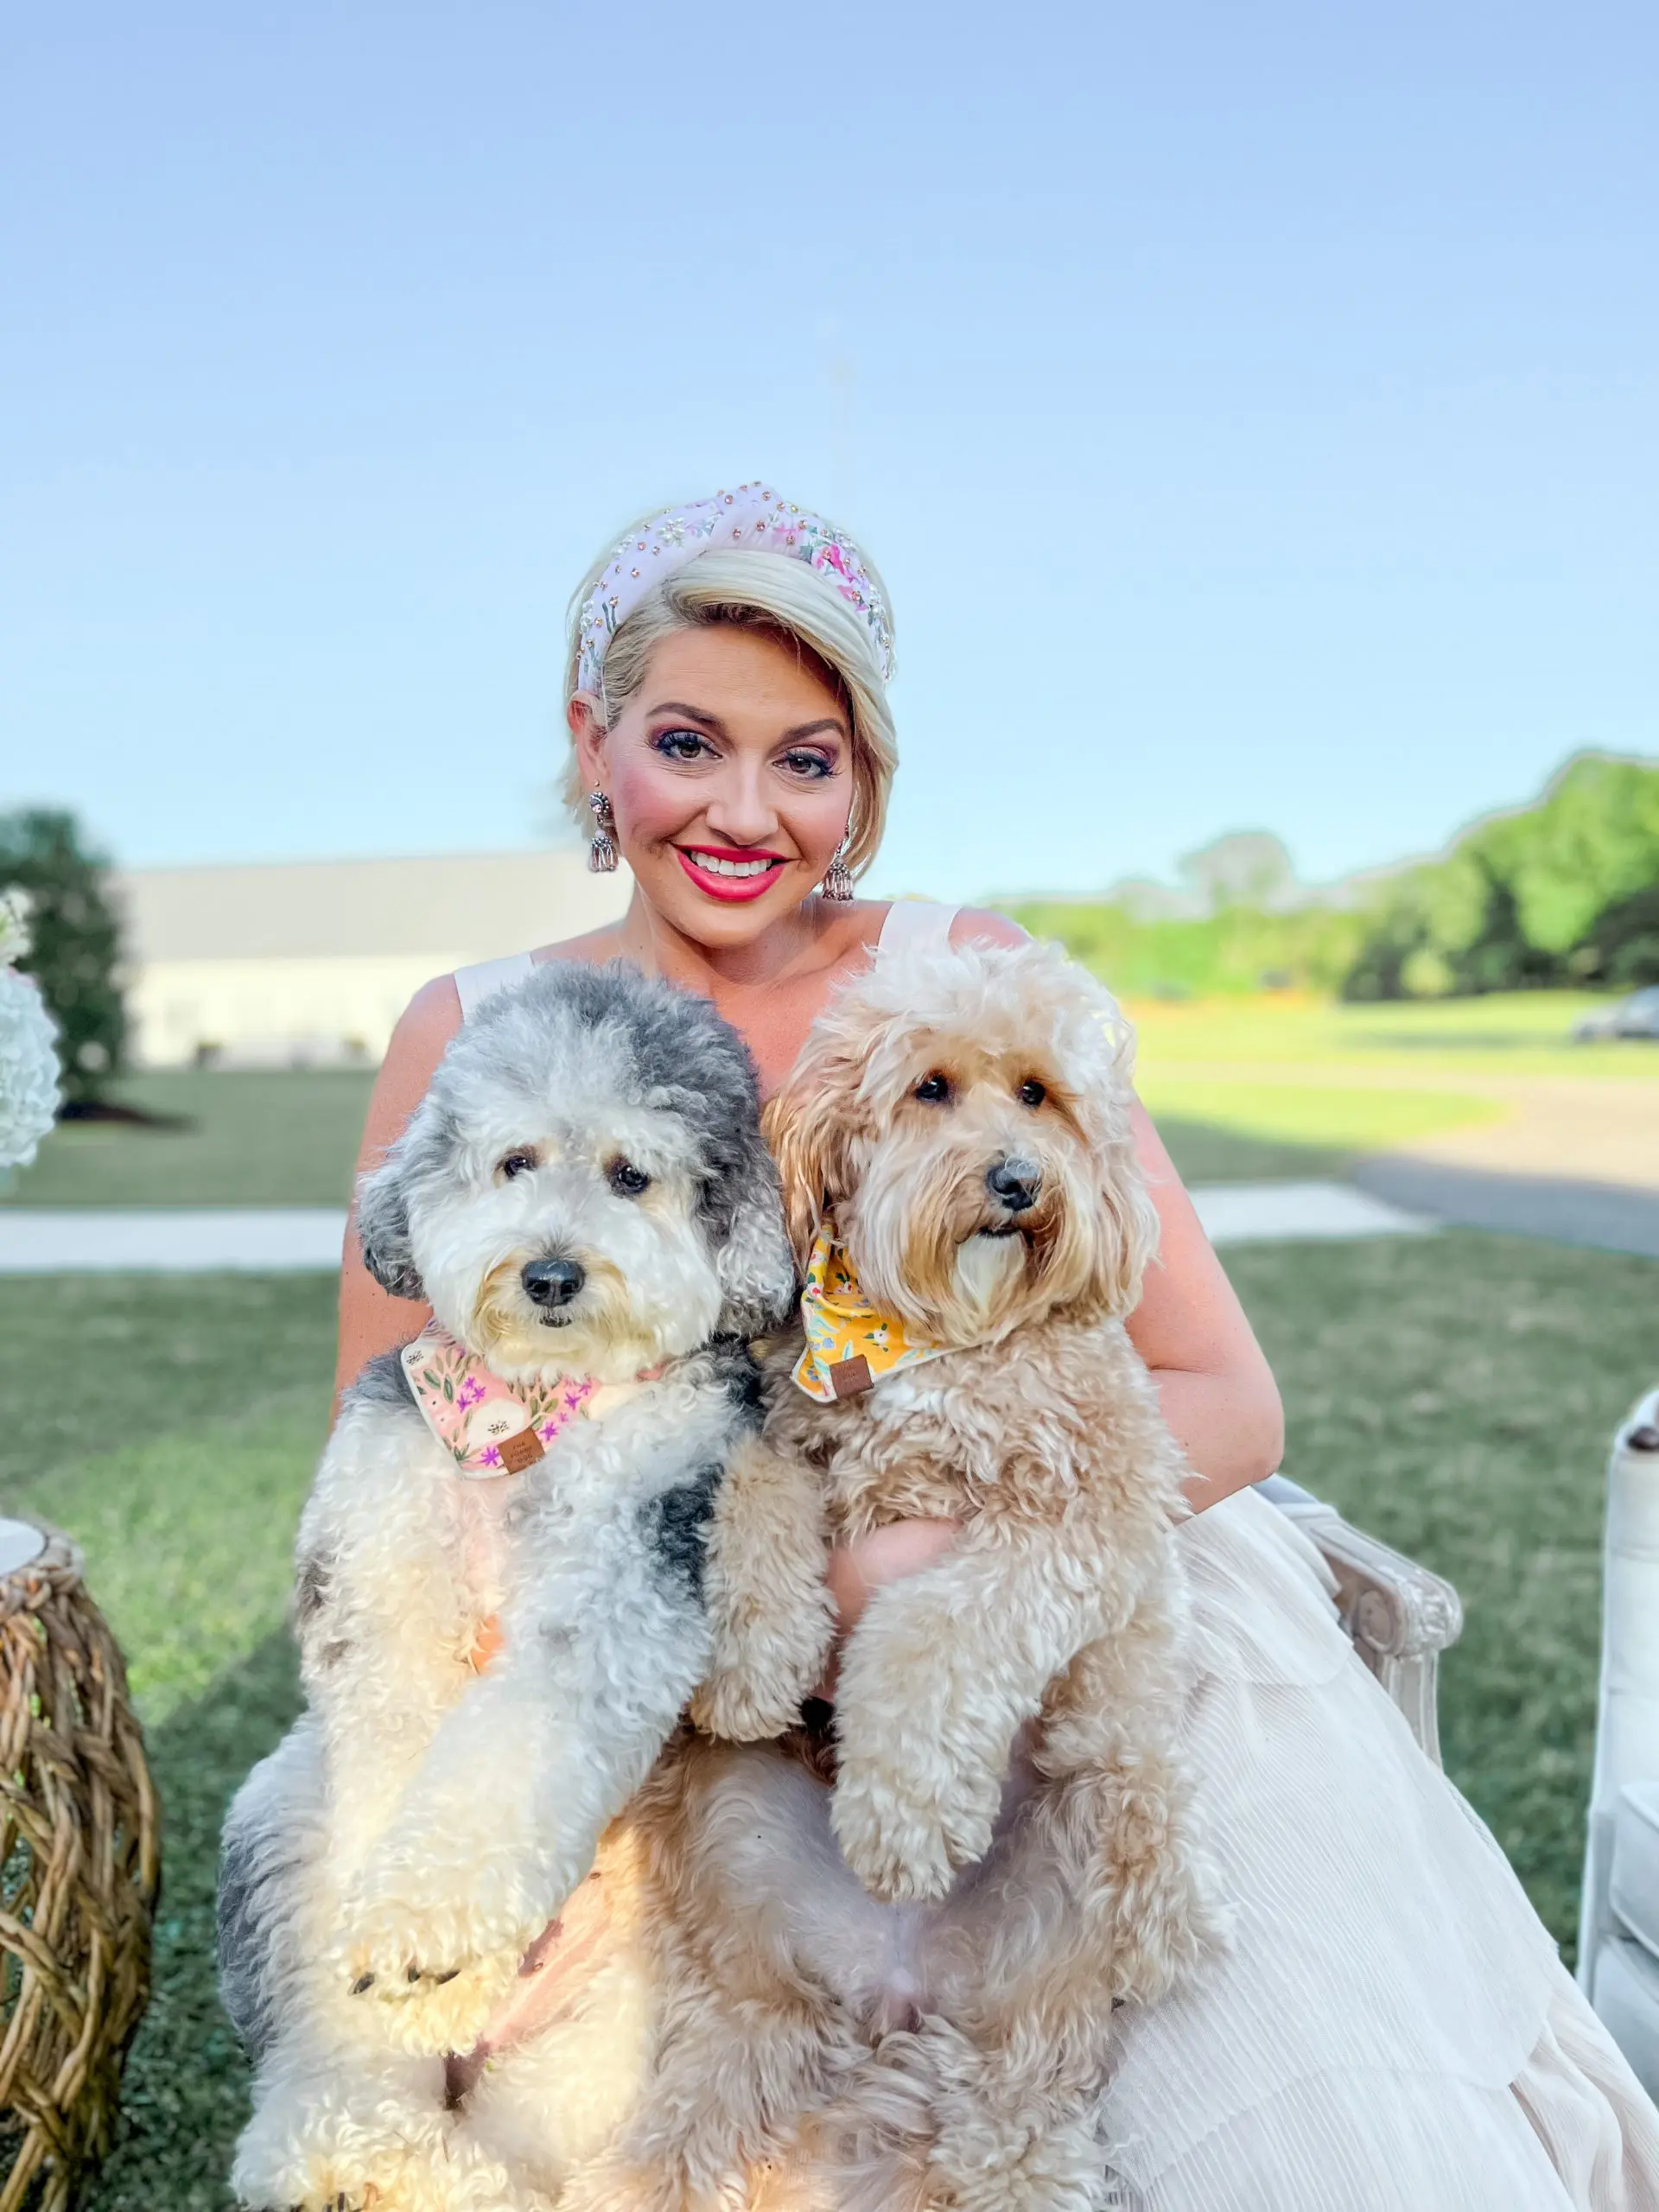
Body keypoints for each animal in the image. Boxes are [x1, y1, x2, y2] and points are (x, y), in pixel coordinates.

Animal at [221, 969, 818, 2212]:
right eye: (514, 1160)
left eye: (633, 1175)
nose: (549, 1273)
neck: (529, 1414)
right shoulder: (379, 1569)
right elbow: (394, 1750)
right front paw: (419, 1974)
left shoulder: (625, 1568)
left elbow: (509, 1760)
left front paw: (429, 1939)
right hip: (276, 1815)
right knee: (317, 2086)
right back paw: (344, 2151)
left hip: (619, 2029)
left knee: (525, 2152)